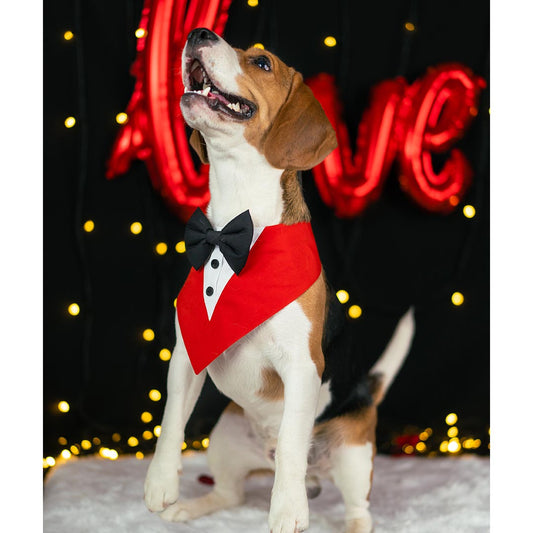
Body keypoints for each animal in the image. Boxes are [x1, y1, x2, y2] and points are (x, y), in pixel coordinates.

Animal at [144, 28, 416, 532]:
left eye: (262, 63)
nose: (199, 33)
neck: (235, 227)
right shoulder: (187, 352)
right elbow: (171, 418)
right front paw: (160, 483)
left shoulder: (302, 367)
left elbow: (292, 443)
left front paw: (288, 508)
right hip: (226, 435)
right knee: (229, 493)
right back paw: (189, 506)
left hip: (353, 450)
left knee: (356, 505)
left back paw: (343, 517)